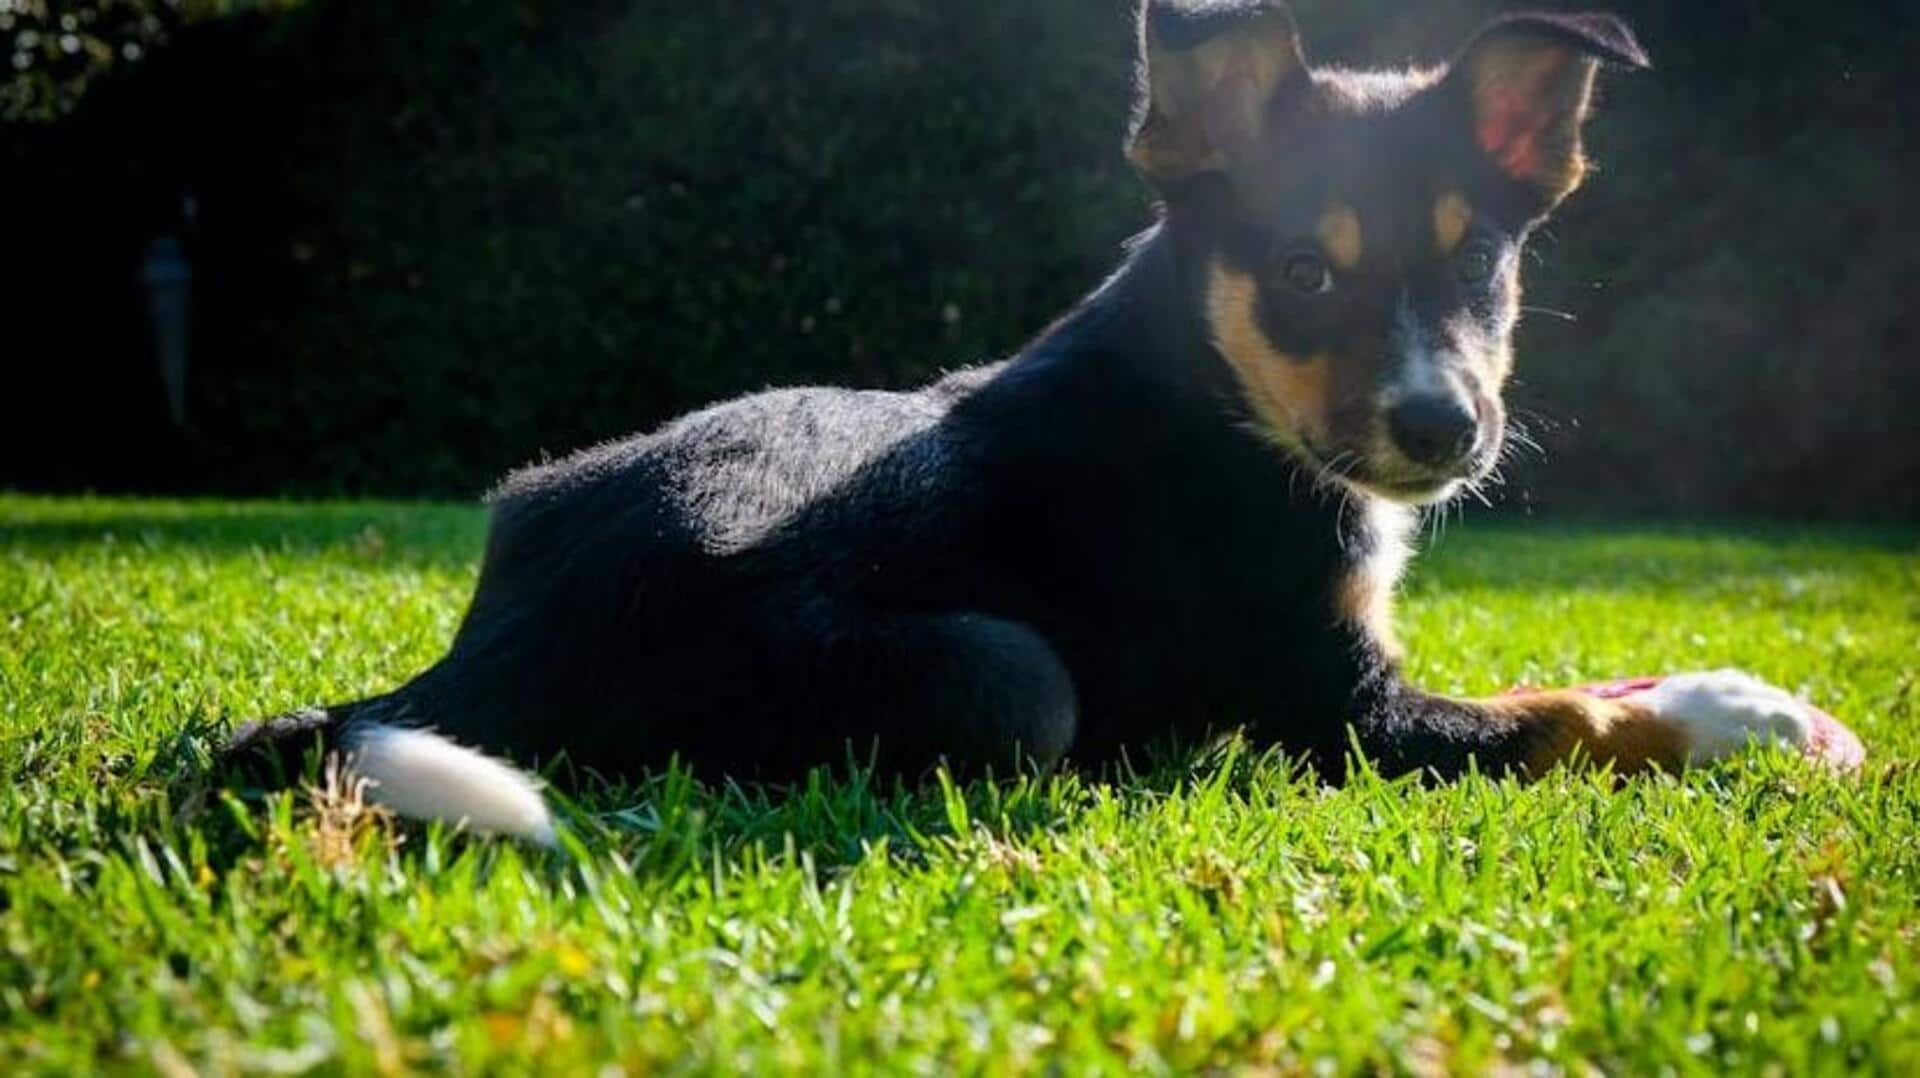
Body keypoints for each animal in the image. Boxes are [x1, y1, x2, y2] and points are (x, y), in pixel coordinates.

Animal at [228, 0, 1858, 841]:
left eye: (1480, 264)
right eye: (1301, 274)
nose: (1443, 430)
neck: (1212, 385)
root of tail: (475, 666)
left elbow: (1574, 680)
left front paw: (1745, 693)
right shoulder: (1341, 708)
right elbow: (1569, 714)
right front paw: (1741, 713)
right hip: (1006, 675)